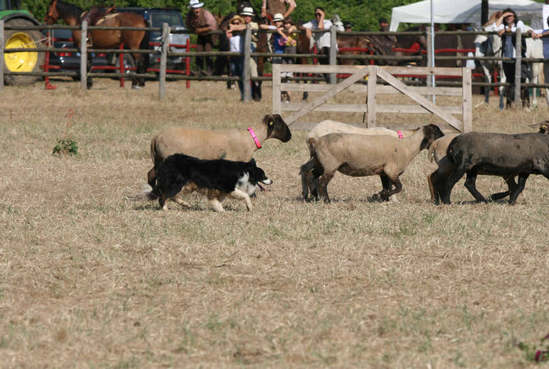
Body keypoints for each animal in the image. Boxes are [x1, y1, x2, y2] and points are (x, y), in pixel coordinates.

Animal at [146, 114, 292, 198]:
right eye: (280, 123)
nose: (290, 137)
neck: (251, 139)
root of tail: (156, 137)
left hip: (159, 160)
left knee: (151, 175)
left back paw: (153, 193)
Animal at [306, 123, 444, 201]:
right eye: (437, 132)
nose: (445, 138)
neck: (407, 146)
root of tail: (316, 141)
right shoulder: (391, 171)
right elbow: (399, 187)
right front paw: (379, 196)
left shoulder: (383, 172)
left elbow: (387, 187)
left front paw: (382, 197)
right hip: (330, 165)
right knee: (322, 183)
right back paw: (326, 200)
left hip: (320, 163)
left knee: (311, 175)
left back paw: (314, 196)